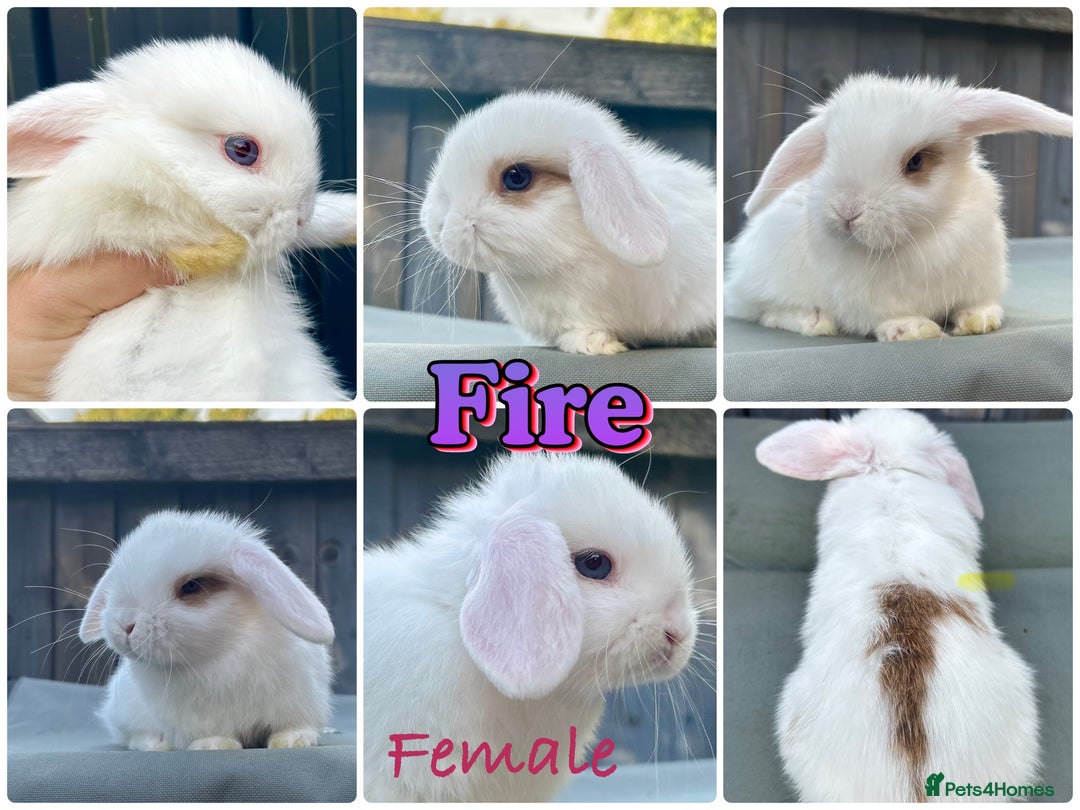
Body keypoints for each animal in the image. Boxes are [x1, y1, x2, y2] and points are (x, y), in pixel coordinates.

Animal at [78, 510, 335, 751]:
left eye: (191, 586)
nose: (125, 625)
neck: (226, 649)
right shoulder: (197, 719)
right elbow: (212, 733)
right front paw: (215, 744)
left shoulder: (298, 701)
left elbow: (293, 726)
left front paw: (293, 741)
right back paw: (157, 744)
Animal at [725, 73, 1073, 341]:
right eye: (827, 154)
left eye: (915, 161)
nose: (846, 210)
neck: (922, 238)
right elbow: (886, 317)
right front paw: (914, 329)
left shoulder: (983, 276)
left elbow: (979, 304)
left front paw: (980, 320)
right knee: (768, 312)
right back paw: (815, 321)